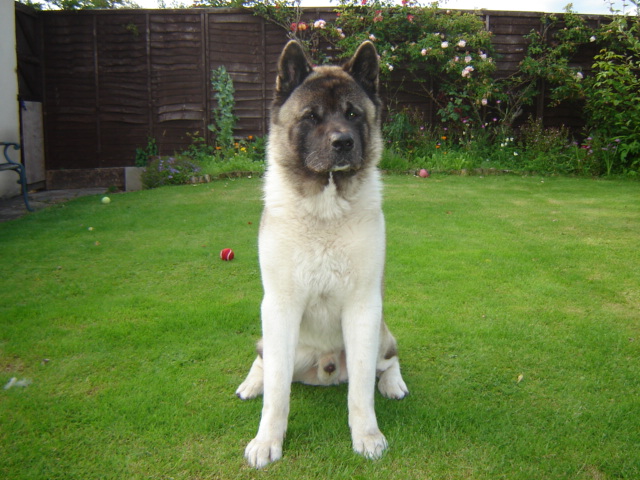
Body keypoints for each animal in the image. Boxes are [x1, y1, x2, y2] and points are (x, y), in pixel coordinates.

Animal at [236, 40, 410, 468]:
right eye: (311, 116)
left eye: (352, 114)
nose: (343, 142)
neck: (325, 211)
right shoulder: (279, 307)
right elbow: (277, 390)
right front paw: (267, 440)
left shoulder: (364, 309)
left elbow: (361, 387)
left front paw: (367, 435)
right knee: (265, 359)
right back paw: (251, 382)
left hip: (379, 333)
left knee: (389, 358)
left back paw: (393, 383)